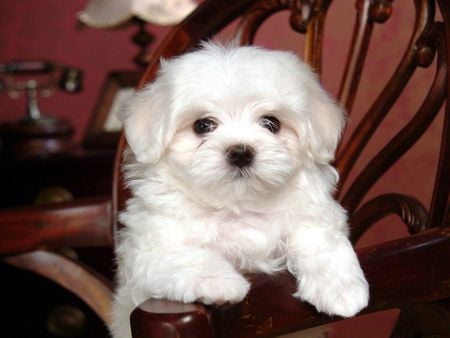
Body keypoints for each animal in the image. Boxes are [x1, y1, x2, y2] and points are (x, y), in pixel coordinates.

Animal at [110, 41, 370, 338]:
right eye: (202, 125)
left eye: (271, 123)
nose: (241, 152)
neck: (238, 207)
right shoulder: (149, 247)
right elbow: (184, 256)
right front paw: (221, 282)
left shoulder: (312, 213)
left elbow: (321, 241)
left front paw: (341, 289)